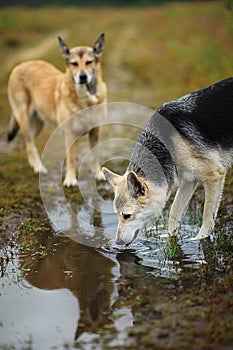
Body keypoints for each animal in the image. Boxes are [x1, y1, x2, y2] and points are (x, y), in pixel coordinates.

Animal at [7, 33, 107, 186]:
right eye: (74, 63)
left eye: (89, 62)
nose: (82, 77)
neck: (86, 99)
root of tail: (19, 65)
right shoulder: (70, 134)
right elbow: (71, 159)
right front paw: (70, 179)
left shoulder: (96, 131)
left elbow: (95, 155)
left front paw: (98, 173)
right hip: (25, 120)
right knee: (30, 145)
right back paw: (39, 168)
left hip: (37, 124)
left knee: (28, 142)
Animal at [103, 78, 233, 245]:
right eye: (117, 215)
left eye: (126, 215)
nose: (117, 243)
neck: (167, 145)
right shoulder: (188, 182)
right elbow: (173, 212)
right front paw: (171, 238)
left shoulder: (214, 175)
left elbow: (207, 215)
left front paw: (200, 239)